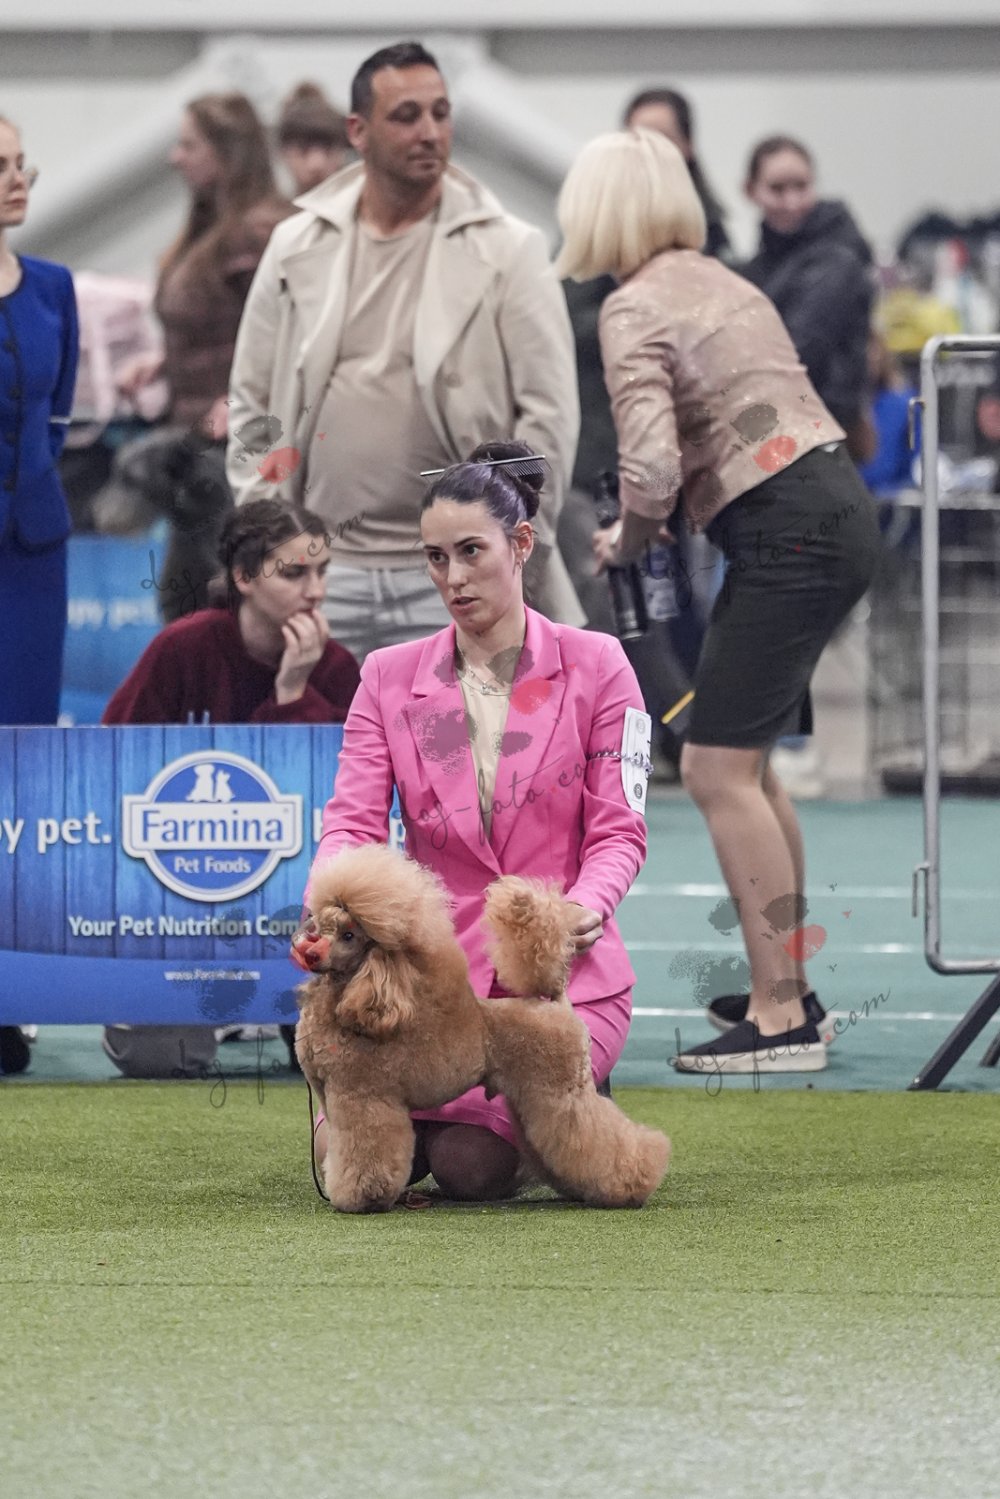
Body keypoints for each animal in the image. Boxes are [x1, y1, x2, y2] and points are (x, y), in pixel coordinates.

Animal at [292, 843, 670, 1213]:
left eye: (349, 935)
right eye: (320, 928)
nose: (311, 954)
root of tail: (556, 1002)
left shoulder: (364, 1097)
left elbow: (365, 1152)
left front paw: (361, 1198)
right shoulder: (337, 1100)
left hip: (559, 1092)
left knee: (601, 1138)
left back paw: (633, 1182)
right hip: (532, 1099)